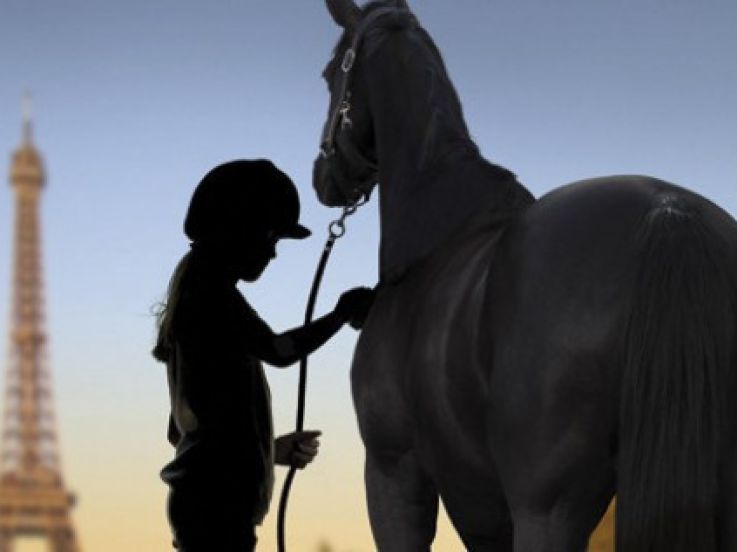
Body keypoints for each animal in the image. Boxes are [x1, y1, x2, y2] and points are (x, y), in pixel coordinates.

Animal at [312, 2, 737, 551]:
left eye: (330, 73)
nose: (324, 179)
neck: (435, 235)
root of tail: (670, 215)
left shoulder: (394, 469)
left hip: (546, 505)